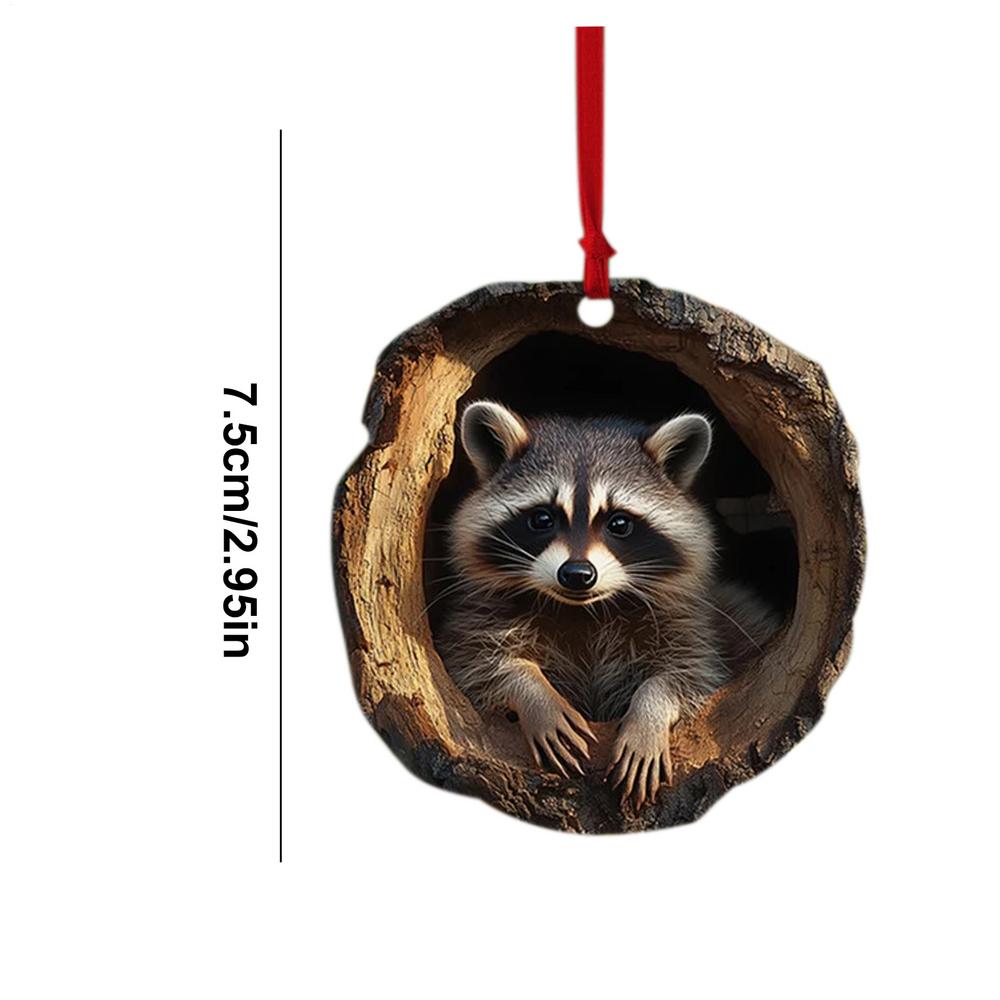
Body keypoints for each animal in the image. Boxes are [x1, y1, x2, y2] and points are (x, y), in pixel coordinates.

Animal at [437, 400, 779, 808]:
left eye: (619, 523)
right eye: (542, 518)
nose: (577, 574)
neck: (584, 609)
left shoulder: (687, 622)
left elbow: (691, 675)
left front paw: (649, 713)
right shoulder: (480, 614)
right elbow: (476, 662)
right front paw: (533, 692)